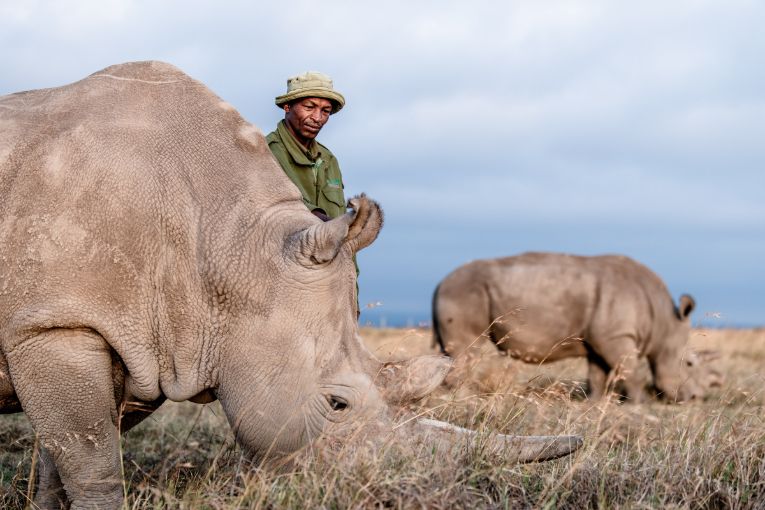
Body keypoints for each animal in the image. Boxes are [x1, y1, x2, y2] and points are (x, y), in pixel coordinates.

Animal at [0, 61, 580, 508]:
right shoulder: (54, 326)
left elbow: (64, 456)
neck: (226, 243)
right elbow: (92, 461)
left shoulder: (143, 340)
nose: (380, 490)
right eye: (337, 405)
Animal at [432, 251, 720, 402]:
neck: (663, 321)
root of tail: (439, 284)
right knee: (467, 349)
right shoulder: (616, 337)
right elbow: (631, 371)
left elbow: (598, 374)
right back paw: (463, 398)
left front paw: (596, 403)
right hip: (464, 293)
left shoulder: (601, 339)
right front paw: (640, 404)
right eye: (689, 363)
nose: (697, 398)